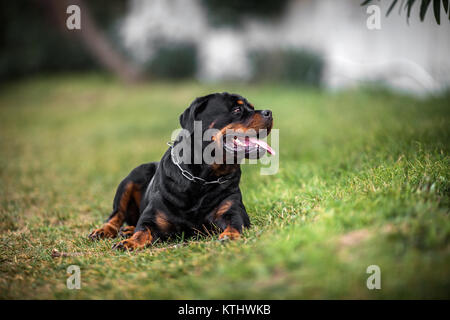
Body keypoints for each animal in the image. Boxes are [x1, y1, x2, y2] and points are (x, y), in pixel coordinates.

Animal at [86, 92, 272, 250]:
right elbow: (143, 230)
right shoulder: (152, 218)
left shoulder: (233, 211)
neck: (203, 178)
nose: (269, 112)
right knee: (116, 214)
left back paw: (127, 230)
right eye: (237, 110)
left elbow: (235, 223)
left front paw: (229, 236)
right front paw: (130, 242)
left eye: (251, 107)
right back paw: (105, 231)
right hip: (133, 177)